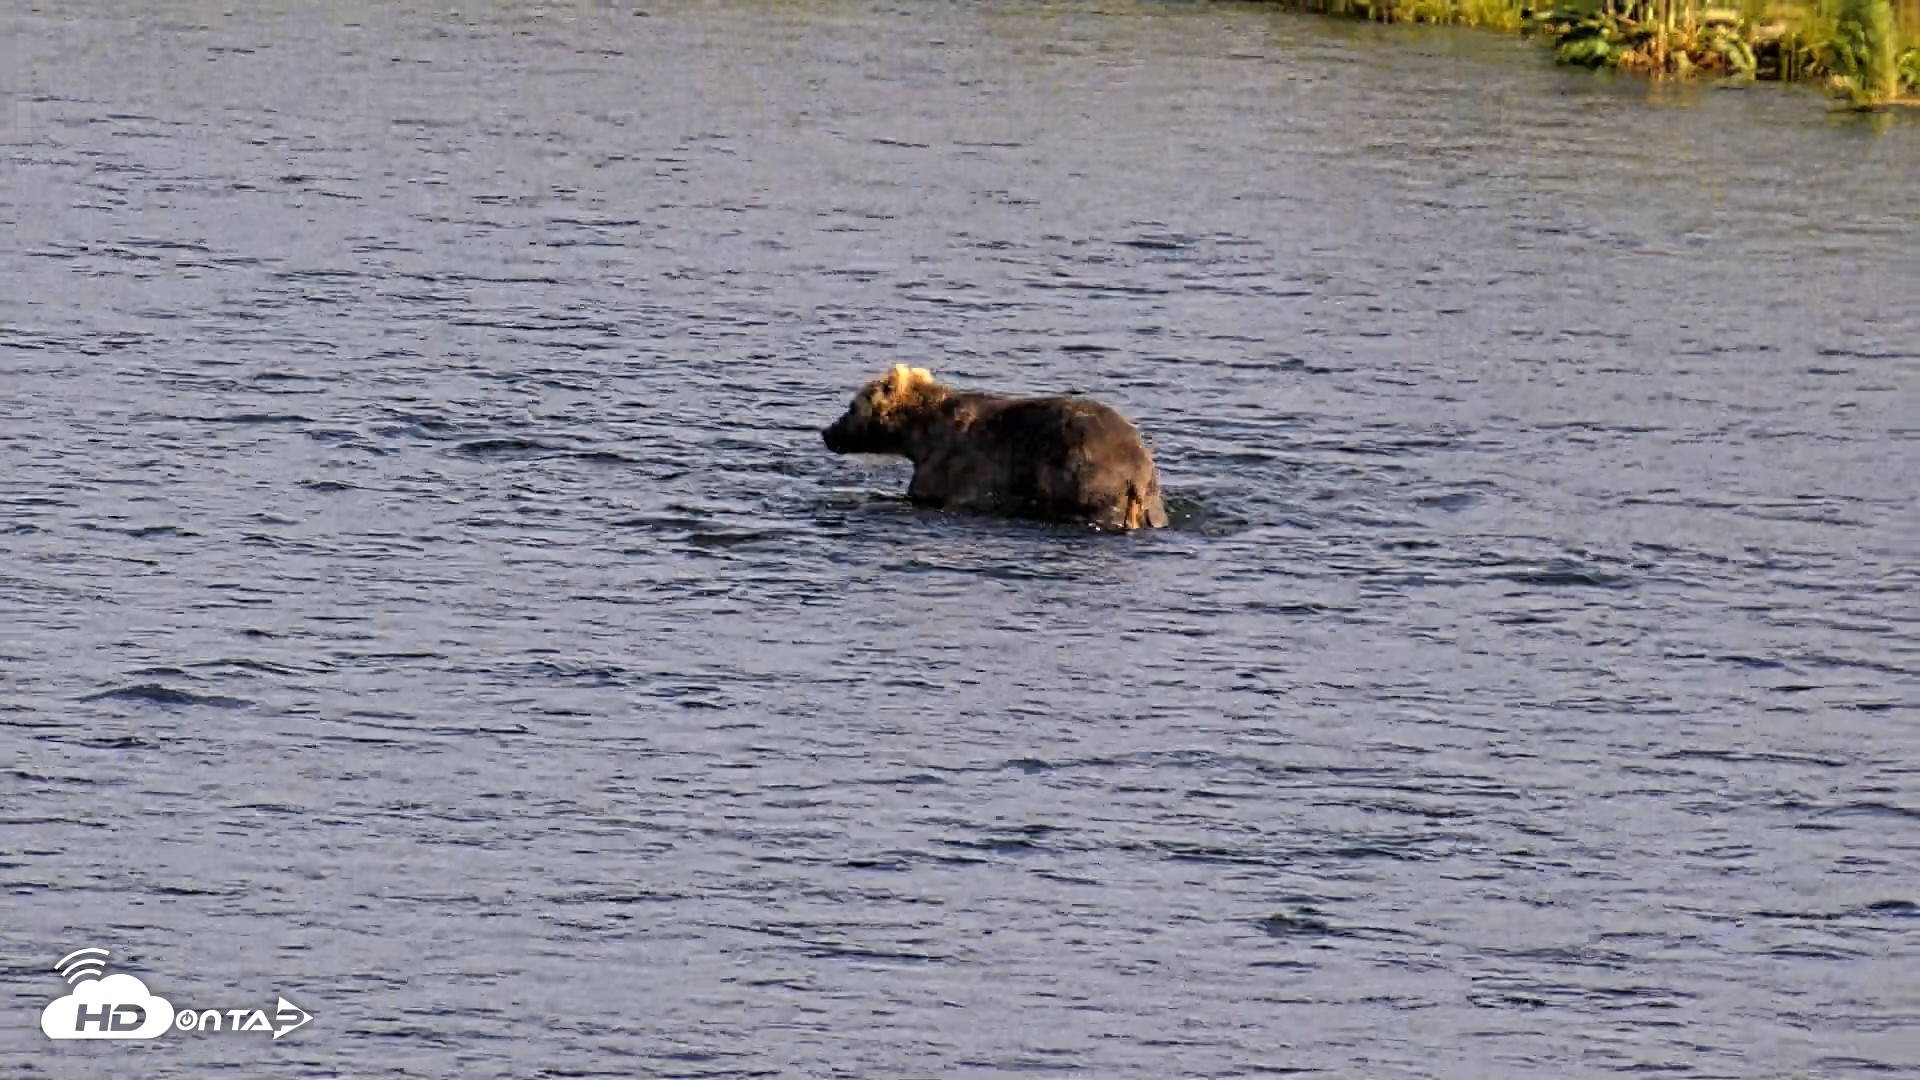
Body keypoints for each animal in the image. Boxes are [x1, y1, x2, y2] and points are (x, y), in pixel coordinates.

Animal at [821, 364, 1169, 531]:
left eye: (851, 407)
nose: (826, 432)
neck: (919, 435)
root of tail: (1138, 471)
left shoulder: (957, 464)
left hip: (1086, 478)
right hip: (1151, 499)